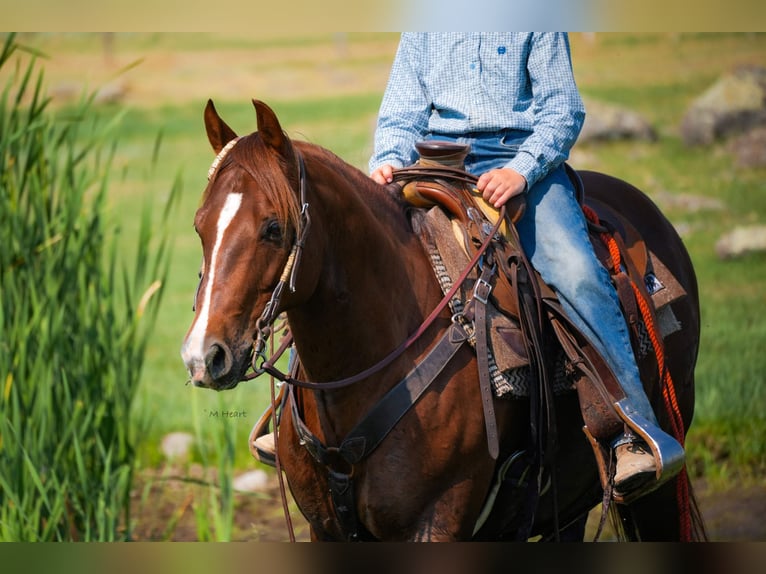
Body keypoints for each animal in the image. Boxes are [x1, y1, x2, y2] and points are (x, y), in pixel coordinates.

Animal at [181, 99, 705, 541]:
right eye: (199, 225)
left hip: (654, 489)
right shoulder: (325, 529)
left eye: (273, 228)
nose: (203, 356)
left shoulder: (436, 523)